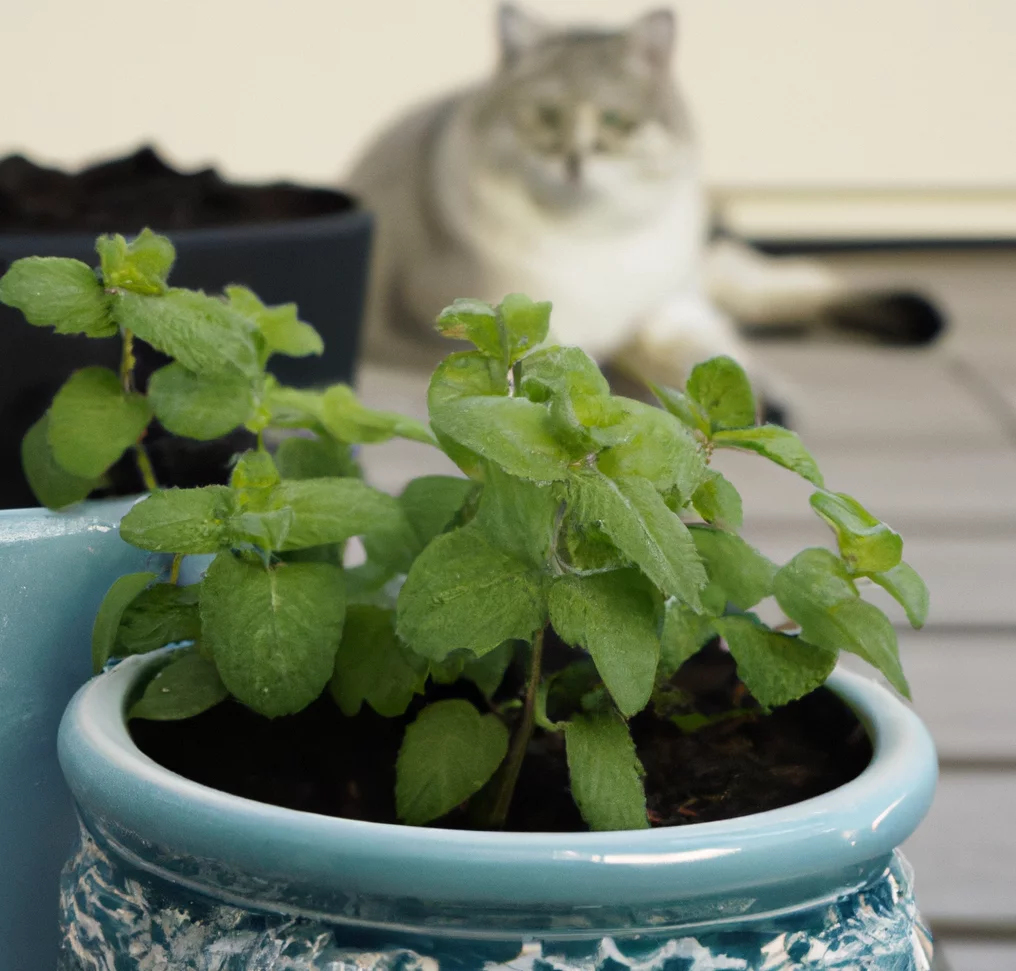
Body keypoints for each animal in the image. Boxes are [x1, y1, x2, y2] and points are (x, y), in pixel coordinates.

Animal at [349, 4, 942, 390]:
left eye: (616, 121)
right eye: (546, 116)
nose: (575, 160)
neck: (592, 241)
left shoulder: (673, 305)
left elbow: (715, 362)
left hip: (709, 268)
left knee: (784, 286)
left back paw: (917, 316)